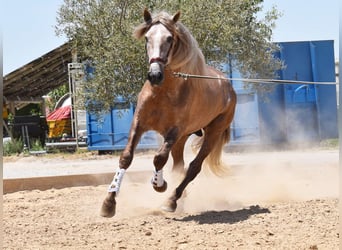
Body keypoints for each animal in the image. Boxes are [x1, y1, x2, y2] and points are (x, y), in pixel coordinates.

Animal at [100, 9, 236, 217]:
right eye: (147, 37)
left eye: (170, 38)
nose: (154, 75)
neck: (163, 92)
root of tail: (229, 87)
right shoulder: (139, 123)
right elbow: (126, 157)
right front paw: (109, 202)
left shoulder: (174, 131)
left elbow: (159, 158)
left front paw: (159, 184)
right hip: (183, 139)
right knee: (179, 166)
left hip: (212, 133)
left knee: (193, 167)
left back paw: (172, 200)